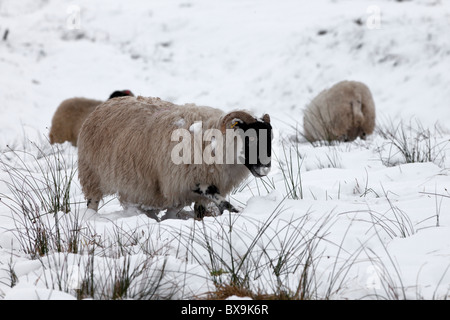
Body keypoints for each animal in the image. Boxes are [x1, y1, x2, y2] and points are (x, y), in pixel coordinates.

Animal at [77, 95, 272, 220]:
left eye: (270, 137)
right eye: (250, 138)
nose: (265, 169)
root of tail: (104, 105)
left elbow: (201, 211)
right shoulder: (186, 181)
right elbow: (222, 202)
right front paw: (239, 213)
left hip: (137, 188)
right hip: (92, 175)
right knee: (92, 202)